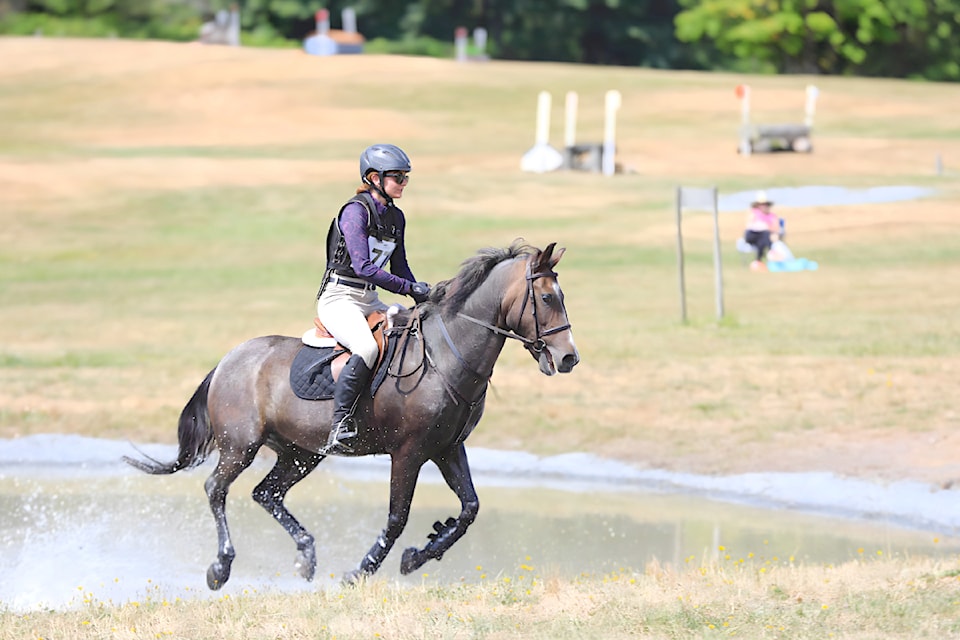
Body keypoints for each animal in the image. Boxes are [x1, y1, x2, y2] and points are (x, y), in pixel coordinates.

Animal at [124, 240, 579, 588]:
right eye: (546, 298)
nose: (569, 357)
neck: (446, 355)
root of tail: (228, 360)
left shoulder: (448, 448)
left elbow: (469, 508)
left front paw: (418, 555)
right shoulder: (409, 453)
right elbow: (397, 518)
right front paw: (360, 572)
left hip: (301, 453)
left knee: (266, 493)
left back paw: (306, 556)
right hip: (240, 446)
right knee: (216, 489)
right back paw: (221, 566)